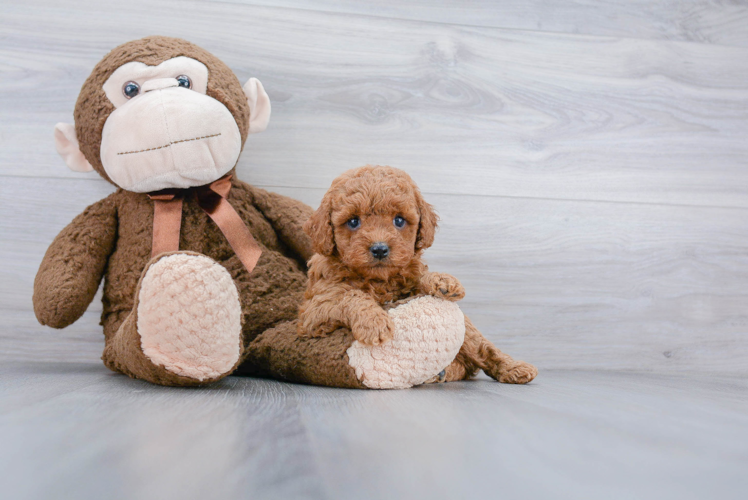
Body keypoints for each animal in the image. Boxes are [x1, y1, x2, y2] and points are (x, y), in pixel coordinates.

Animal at [298, 166, 536, 384]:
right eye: (353, 221)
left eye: (399, 220)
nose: (380, 249)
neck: (379, 280)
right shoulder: (313, 312)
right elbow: (350, 295)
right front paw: (374, 322)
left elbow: (420, 278)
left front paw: (443, 280)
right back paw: (441, 373)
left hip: (469, 333)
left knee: (481, 349)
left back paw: (513, 368)